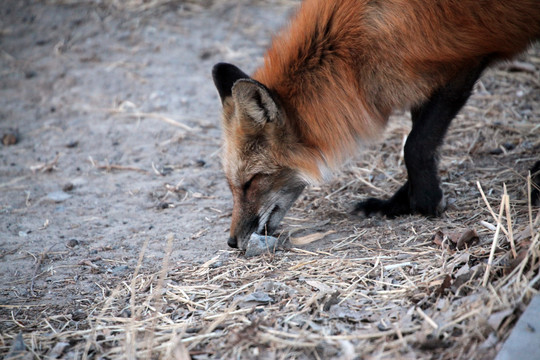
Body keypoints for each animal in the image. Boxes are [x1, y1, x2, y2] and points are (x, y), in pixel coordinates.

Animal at [212, 0, 540, 249]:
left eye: (251, 181)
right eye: (232, 184)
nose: (231, 242)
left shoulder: (463, 63)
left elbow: (416, 145)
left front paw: (425, 203)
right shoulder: (423, 77)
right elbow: (423, 144)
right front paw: (400, 202)